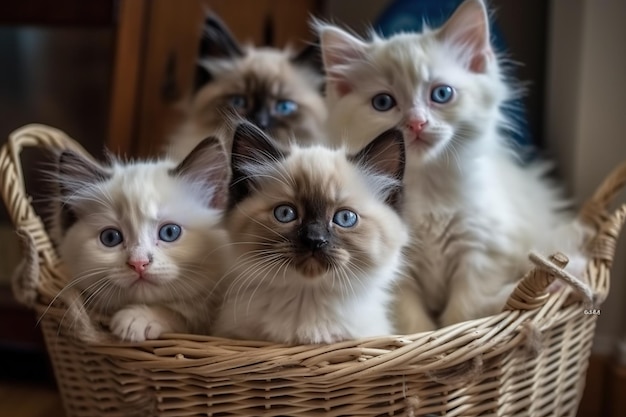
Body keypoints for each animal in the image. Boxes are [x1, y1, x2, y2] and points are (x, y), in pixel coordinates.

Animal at [314, 0, 588, 334]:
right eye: (383, 102)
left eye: (442, 94)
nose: (416, 123)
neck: (428, 188)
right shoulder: (396, 269)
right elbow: (415, 323)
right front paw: (426, 339)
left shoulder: (482, 251)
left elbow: (464, 312)